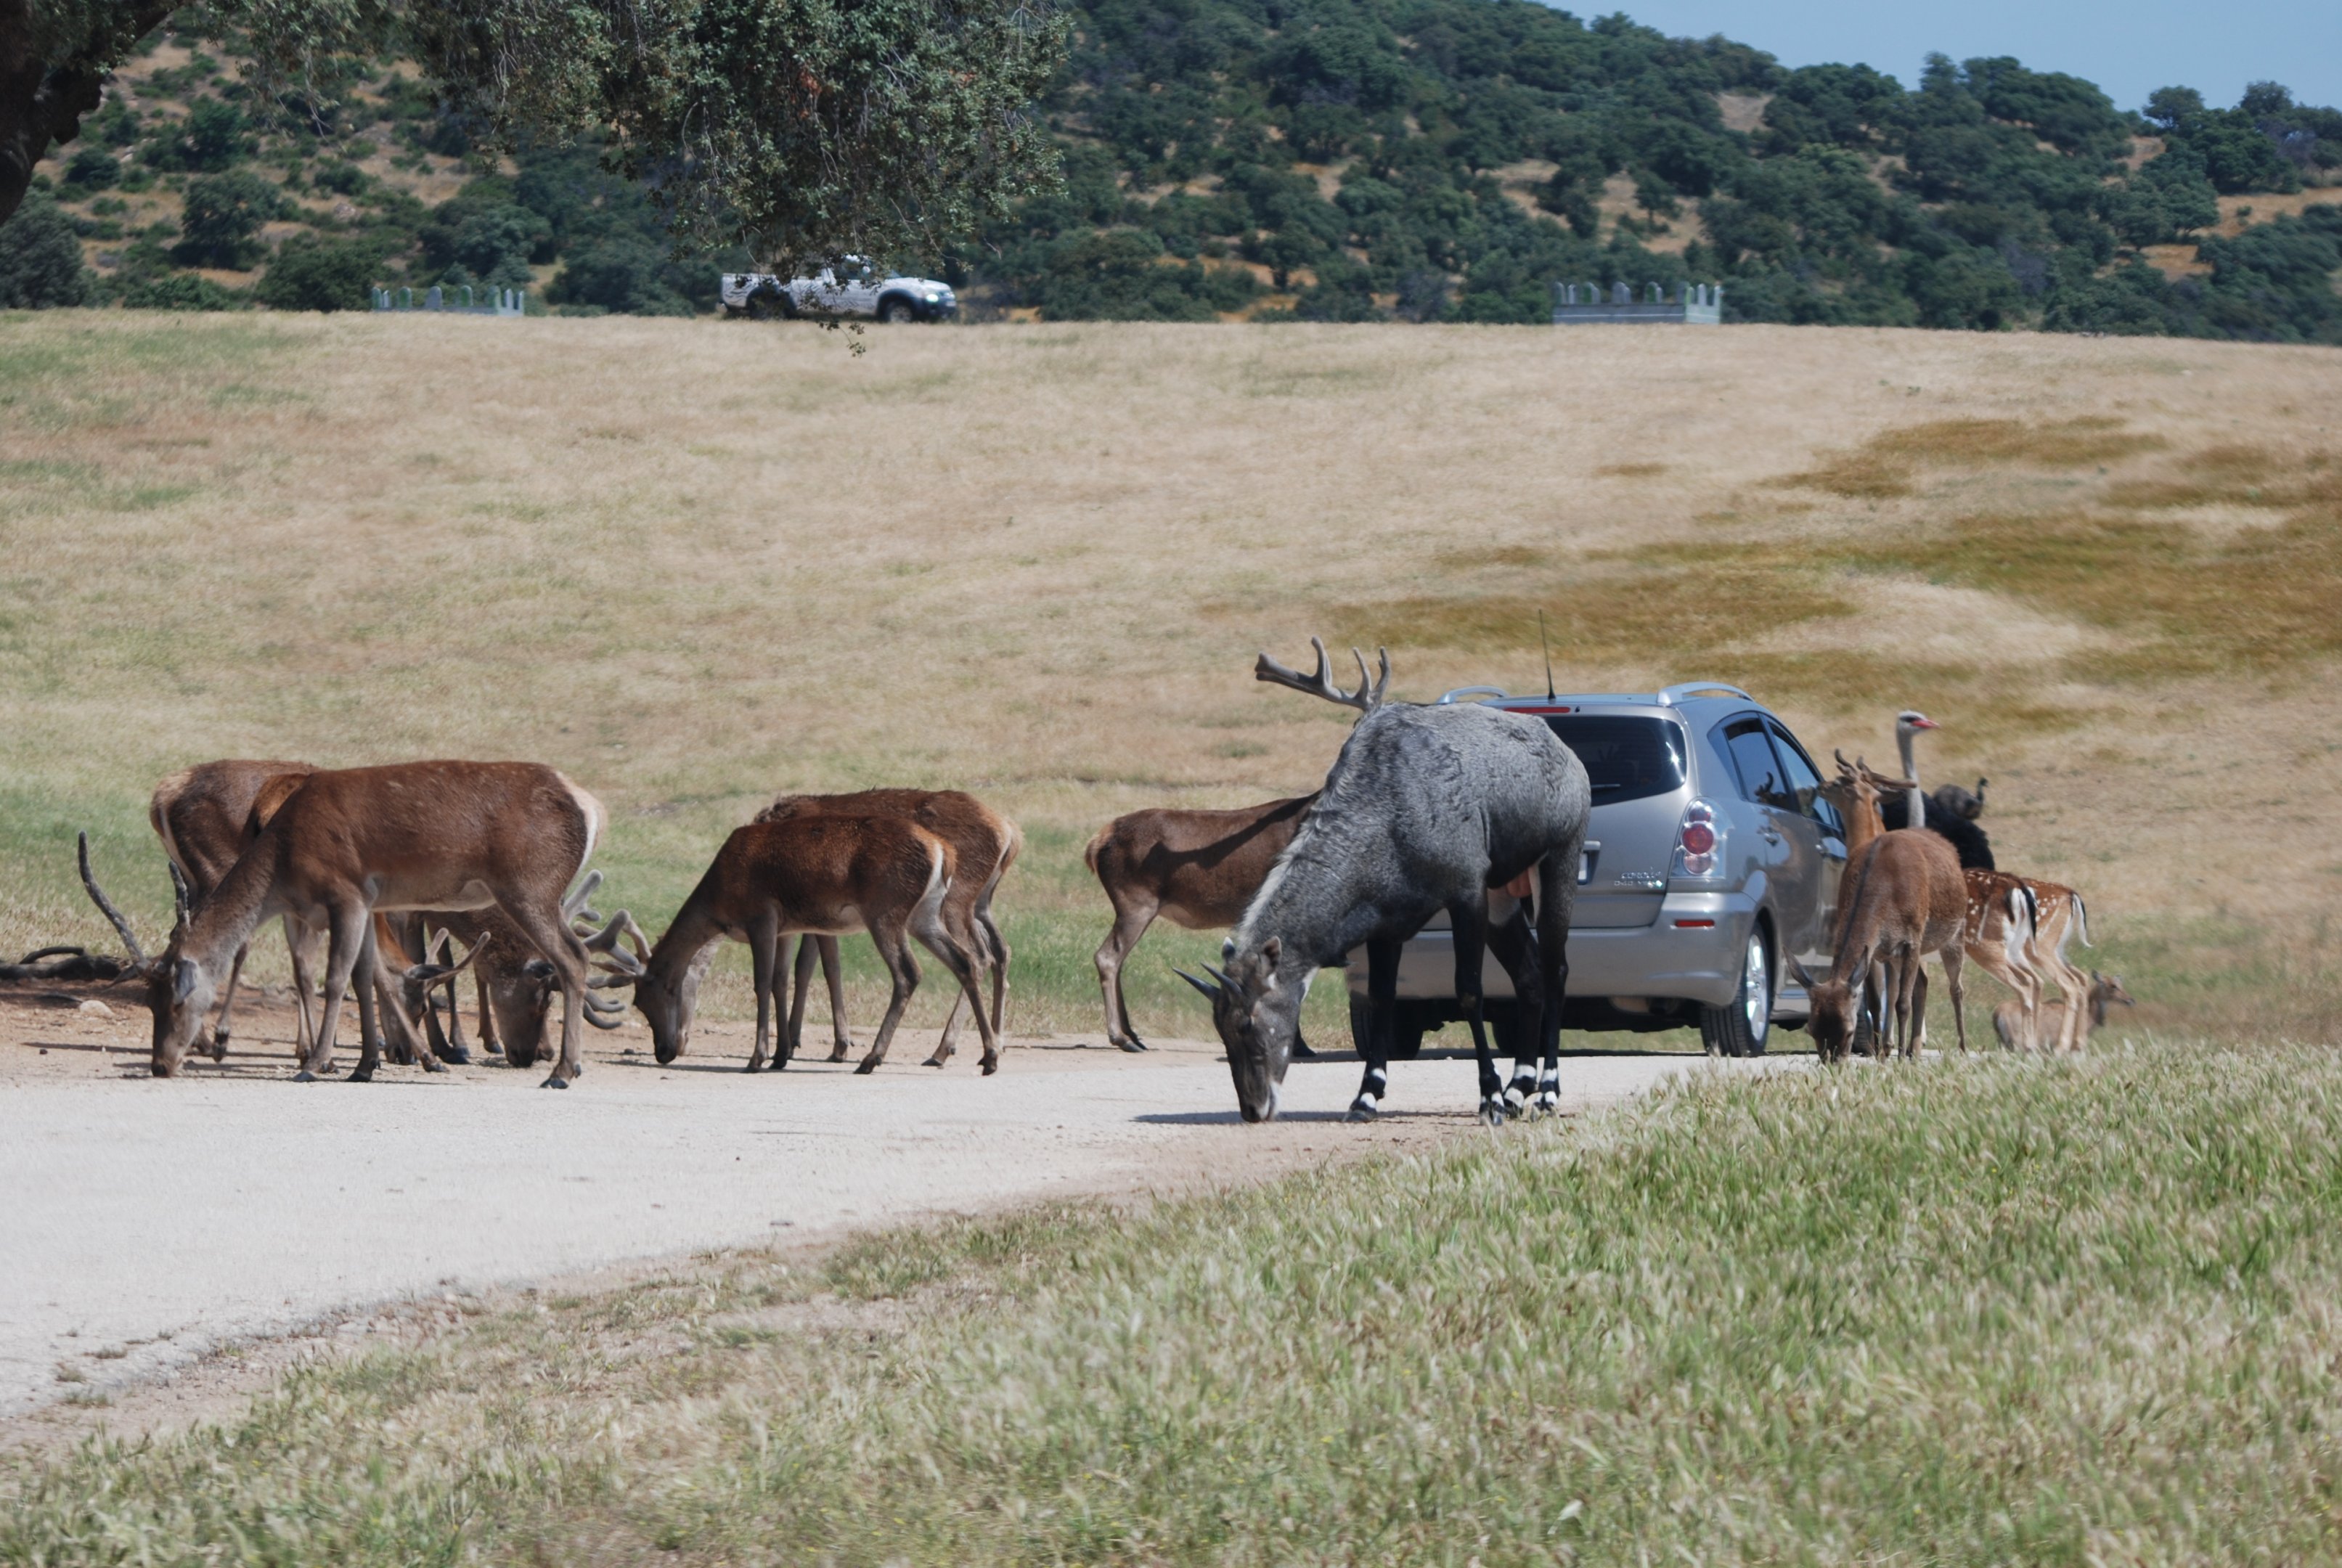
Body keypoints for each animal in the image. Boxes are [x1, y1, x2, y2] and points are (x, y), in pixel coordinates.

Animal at [147, 761, 609, 1086]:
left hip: (531, 886)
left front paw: (317, 1063)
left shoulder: (347, 893)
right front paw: (365, 1065)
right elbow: (366, 974)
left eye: (176, 1001)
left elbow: (337, 978)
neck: (284, 858)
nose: (159, 1065)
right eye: (151, 1002)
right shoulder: (368, 907)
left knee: (573, 957)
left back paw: (562, 1073)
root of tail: (592, 806)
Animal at [617, 812, 1000, 1076]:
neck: (719, 901)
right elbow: (780, 981)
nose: (663, 1052)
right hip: (925, 913)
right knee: (967, 961)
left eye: (644, 997)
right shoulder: (786, 927)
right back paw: (989, 1057)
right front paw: (780, 1055)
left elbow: (761, 984)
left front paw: (756, 1058)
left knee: (909, 972)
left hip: (886, 909)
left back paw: (871, 1058)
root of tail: (943, 850)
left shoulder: (762, 915)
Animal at [754, 789, 1021, 1069]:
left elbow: (827, 969)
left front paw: (838, 1045)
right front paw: (796, 1040)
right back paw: (995, 1042)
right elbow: (806, 966)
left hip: (956, 899)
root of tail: (1010, 833)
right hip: (980, 903)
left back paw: (944, 1049)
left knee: (979, 957)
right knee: (1000, 950)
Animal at [1085, 792, 1319, 1052]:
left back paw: (1133, 1035)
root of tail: (1097, 841)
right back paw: (1122, 1037)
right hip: (1135, 904)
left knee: (1118, 959)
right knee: (1107, 957)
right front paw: (1298, 1045)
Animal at [1182, 639, 1590, 1126]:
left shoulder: (1466, 889)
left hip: (1557, 857)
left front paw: (1487, 1097)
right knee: (1528, 973)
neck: (1386, 821)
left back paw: (1545, 1092)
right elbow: (1380, 997)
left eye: (1248, 1022)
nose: (1253, 1107)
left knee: (1555, 969)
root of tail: (1569, 756)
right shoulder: (1386, 923)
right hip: (1503, 894)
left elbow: (1469, 991)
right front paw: (1365, 1097)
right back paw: (1517, 1089)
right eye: (1218, 1026)